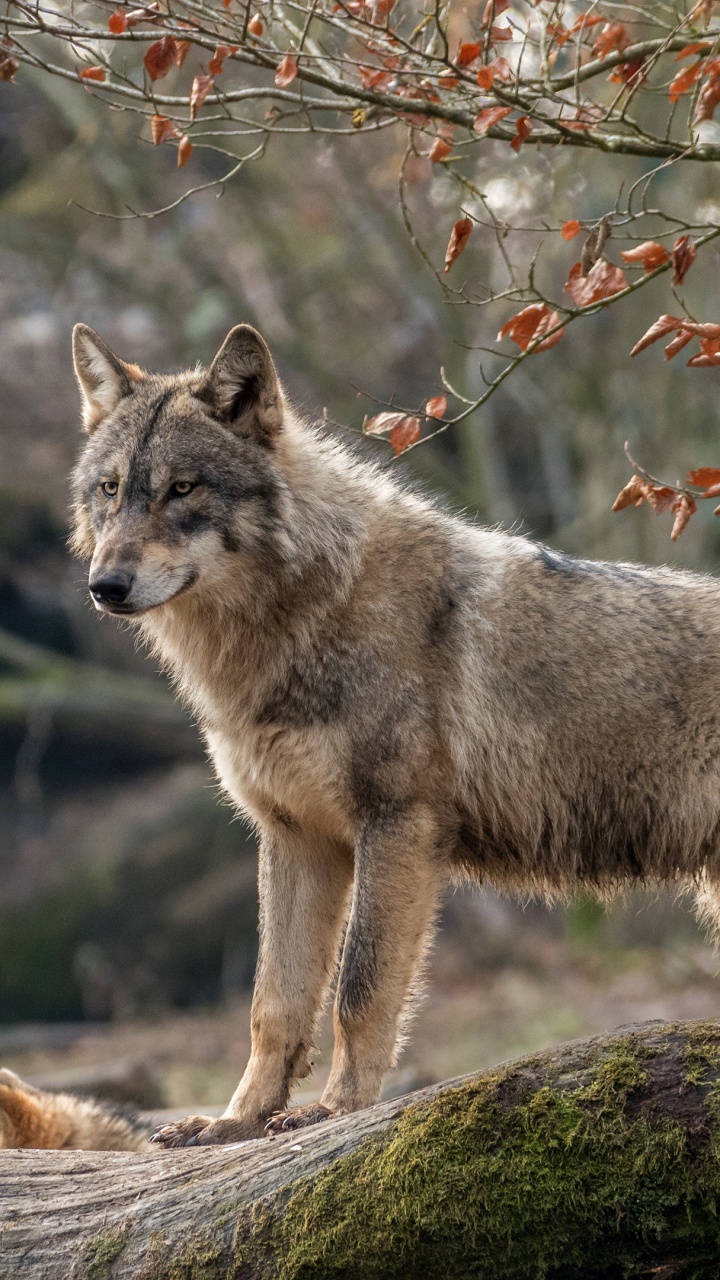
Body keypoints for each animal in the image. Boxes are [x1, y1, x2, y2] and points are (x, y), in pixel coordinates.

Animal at [69, 321, 720, 1148]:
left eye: (183, 488)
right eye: (111, 488)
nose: (105, 586)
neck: (303, 616)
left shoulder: (397, 827)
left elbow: (360, 988)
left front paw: (336, 1111)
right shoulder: (295, 837)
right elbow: (273, 1004)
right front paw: (237, 1122)